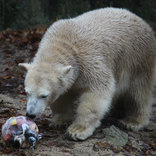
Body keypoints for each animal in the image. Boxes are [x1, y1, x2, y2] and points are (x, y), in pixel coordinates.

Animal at [19, 7, 156, 141]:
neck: (63, 43)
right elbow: (63, 95)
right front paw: (59, 121)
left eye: (44, 95)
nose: (30, 114)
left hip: (138, 59)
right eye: (27, 92)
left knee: (138, 92)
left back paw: (133, 121)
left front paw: (77, 130)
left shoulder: (89, 62)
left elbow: (97, 92)